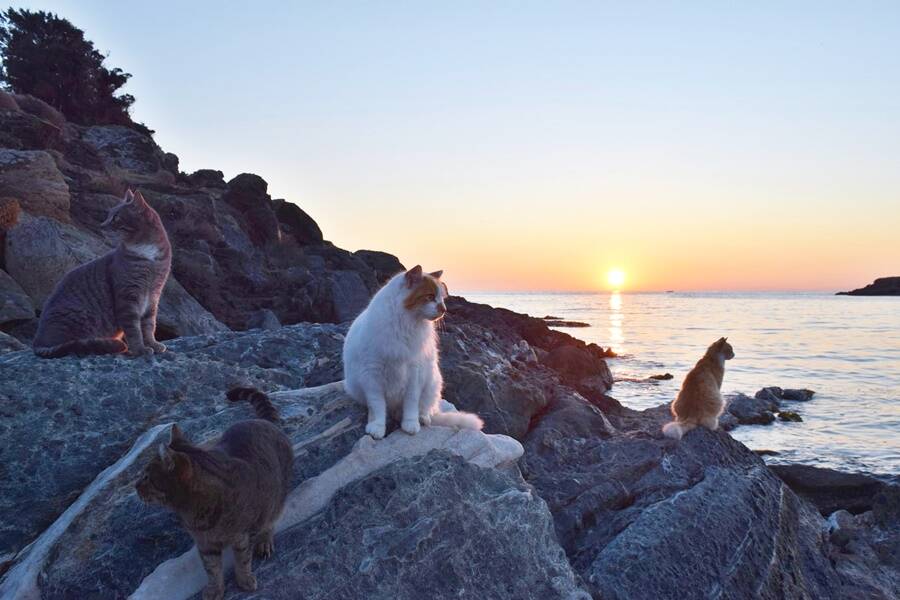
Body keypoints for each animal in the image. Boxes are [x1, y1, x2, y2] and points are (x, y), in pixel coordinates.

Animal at [33, 189, 172, 356]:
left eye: (116, 217)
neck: (147, 254)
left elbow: (149, 325)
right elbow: (134, 329)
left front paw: (153, 344)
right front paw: (140, 349)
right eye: (108, 215)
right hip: (81, 315)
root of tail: (37, 343)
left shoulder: (153, 295)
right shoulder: (127, 297)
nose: (101, 225)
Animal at [135, 386, 294, 596]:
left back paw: (265, 541)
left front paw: (244, 579)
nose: (135, 485)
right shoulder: (205, 545)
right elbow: (212, 569)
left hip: (277, 497)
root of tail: (265, 422)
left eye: (146, 476)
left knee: (271, 520)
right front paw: (215, 589)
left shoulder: (245, 534)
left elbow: (243, 559)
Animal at [342, 264, 482, 438]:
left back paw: (423, 419)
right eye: (430, 296)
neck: (406, 324)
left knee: (426, 409)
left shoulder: (414, 373)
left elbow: (411, 404)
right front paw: (377, 427)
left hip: (432, 383)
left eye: (442, 298)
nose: (444, 309)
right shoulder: (372, 375)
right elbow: (377, 406)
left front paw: (410, 424)